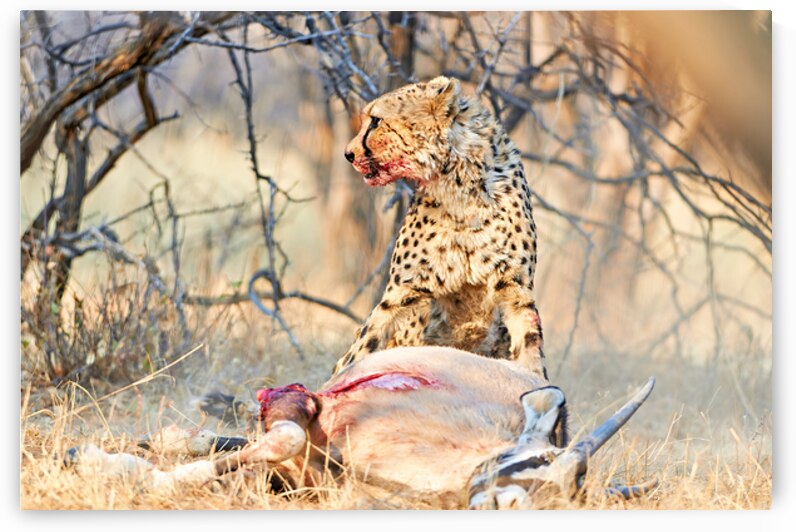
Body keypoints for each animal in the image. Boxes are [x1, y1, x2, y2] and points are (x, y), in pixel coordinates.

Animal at [333, 76, 546, 382]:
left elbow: (531, 348)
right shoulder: (402, 291)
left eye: (375, 120)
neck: (458, 185)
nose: (348, 154)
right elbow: (363, 346)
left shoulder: (514, 290)